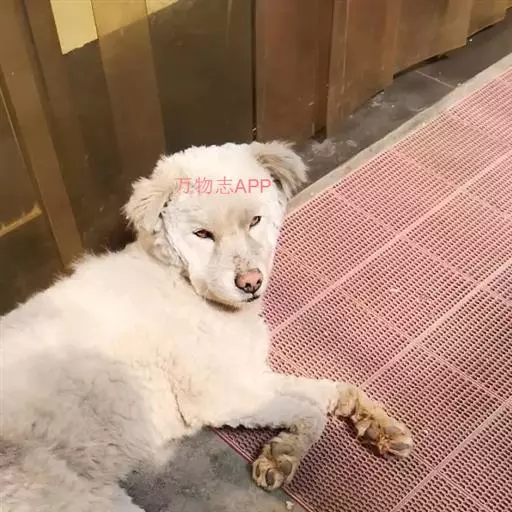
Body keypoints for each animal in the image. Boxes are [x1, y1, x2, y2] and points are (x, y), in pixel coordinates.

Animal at [0, 141, 412, 511]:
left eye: (255, 221)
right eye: (202, 234)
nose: (251, 283)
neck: (184, 284)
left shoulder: (248, 373)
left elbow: (327, 393)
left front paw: (371, 423)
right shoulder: (218, 396)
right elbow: (311, 412)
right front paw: (283, 454)